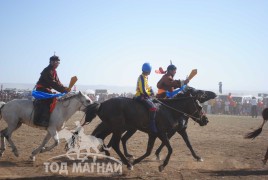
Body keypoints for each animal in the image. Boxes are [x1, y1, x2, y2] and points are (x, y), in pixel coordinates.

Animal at [85, 88, 213, 172]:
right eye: (200, 107)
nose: (206, 120)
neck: (169, 111)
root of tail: (102, 104)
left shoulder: (156, 134)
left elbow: (150, 151)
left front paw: (197, 157)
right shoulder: (163, 133)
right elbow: (170, 148)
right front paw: (162, 165)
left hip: (120, 129)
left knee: (110, 139)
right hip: (118, 128)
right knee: (113, 142)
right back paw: (126, 162)